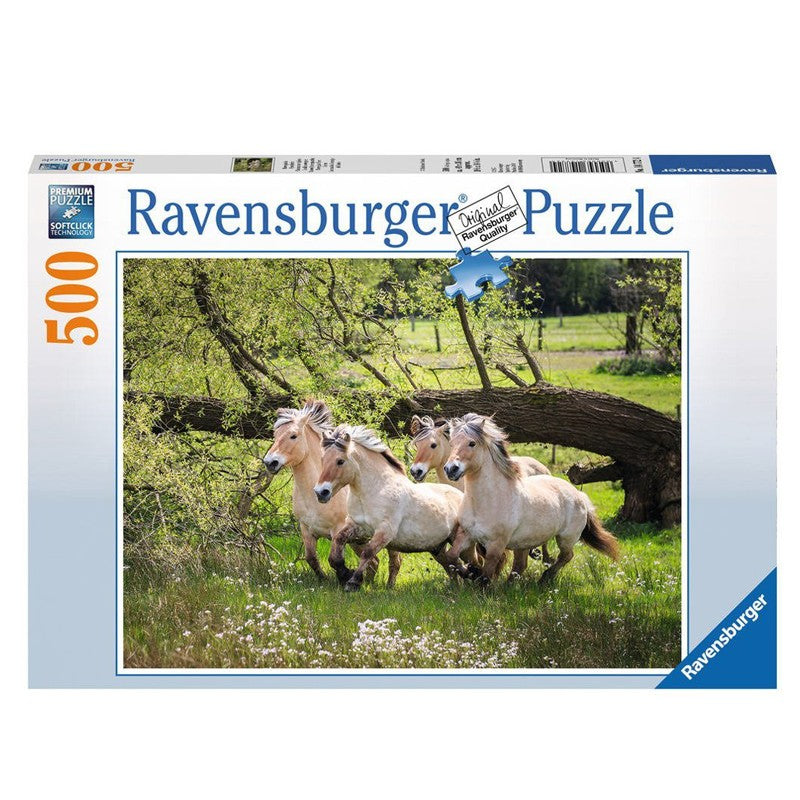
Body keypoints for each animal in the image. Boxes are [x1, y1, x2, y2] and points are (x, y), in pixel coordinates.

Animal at [263, 400, 402, 586]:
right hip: (359, 541)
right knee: (373, 561)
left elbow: (334, 560)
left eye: (293, 436)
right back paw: (366, 583)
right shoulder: (306, 529)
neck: (313, 498)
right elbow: (312, 559)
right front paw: (326, 580)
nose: (270, 462)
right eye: (275, 434)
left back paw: (388, 586)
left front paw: (344, 576)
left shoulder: (338, 530)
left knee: (395, 561)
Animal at [313, 425, 465, 592]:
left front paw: (353, 582)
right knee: (451, 565)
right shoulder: (357, 526)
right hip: (438, 548)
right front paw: (343, 573)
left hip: (456, 539)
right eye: (322, 459)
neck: (375, 490)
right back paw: (456, 587)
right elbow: (337, 545)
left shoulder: (385, 531)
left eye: (340, 461)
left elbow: (367, 553)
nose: (321, 492)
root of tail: (461, 495)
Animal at [442, 413, 620, 585]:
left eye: (472, 443)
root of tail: (579, 495)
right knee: (521, 566)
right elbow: (451, 556)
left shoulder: (496, 545)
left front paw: (478, 579)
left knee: (566, 556)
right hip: (524, 543)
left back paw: (545, 578)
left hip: (566, 538)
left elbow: (486, 576)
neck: (487, 501)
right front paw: (469, 572)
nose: (451, 469)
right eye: (451, 443)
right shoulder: (466, 534)